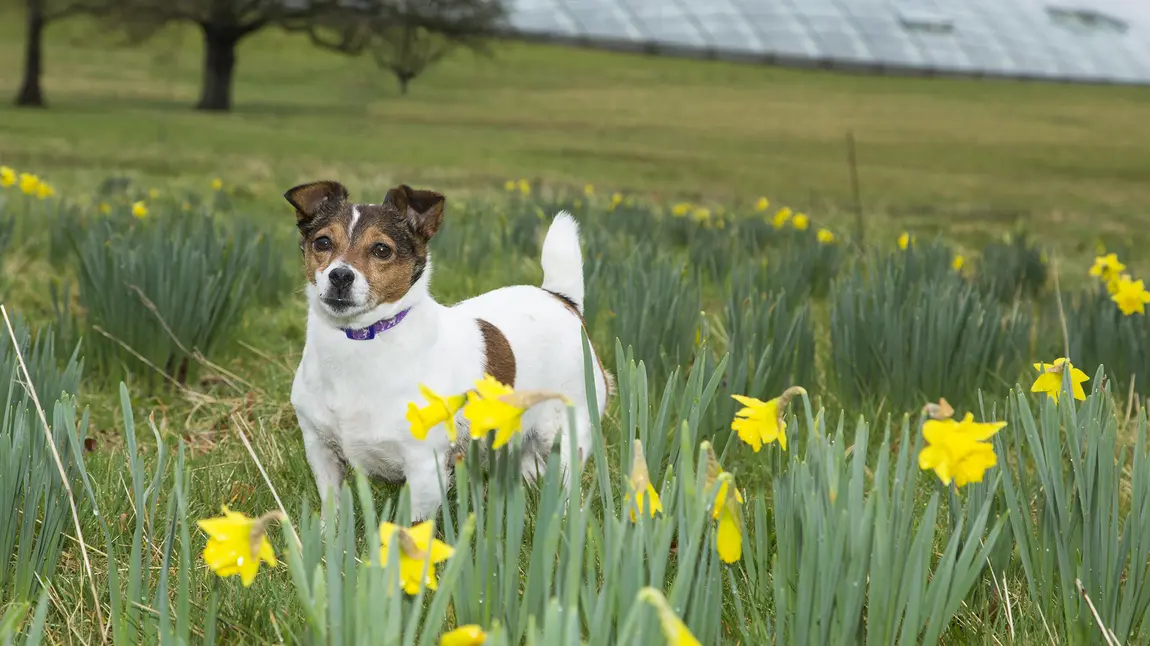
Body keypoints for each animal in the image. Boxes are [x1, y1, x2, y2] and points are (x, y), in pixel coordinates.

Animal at [285, 179, 611, 517]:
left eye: (381, 250)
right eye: (323, 243)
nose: (340, 275)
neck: (360, 338)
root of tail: (561, 299)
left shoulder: (425, 468)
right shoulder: (320, 451)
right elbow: (332, 510)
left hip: (566, 434)